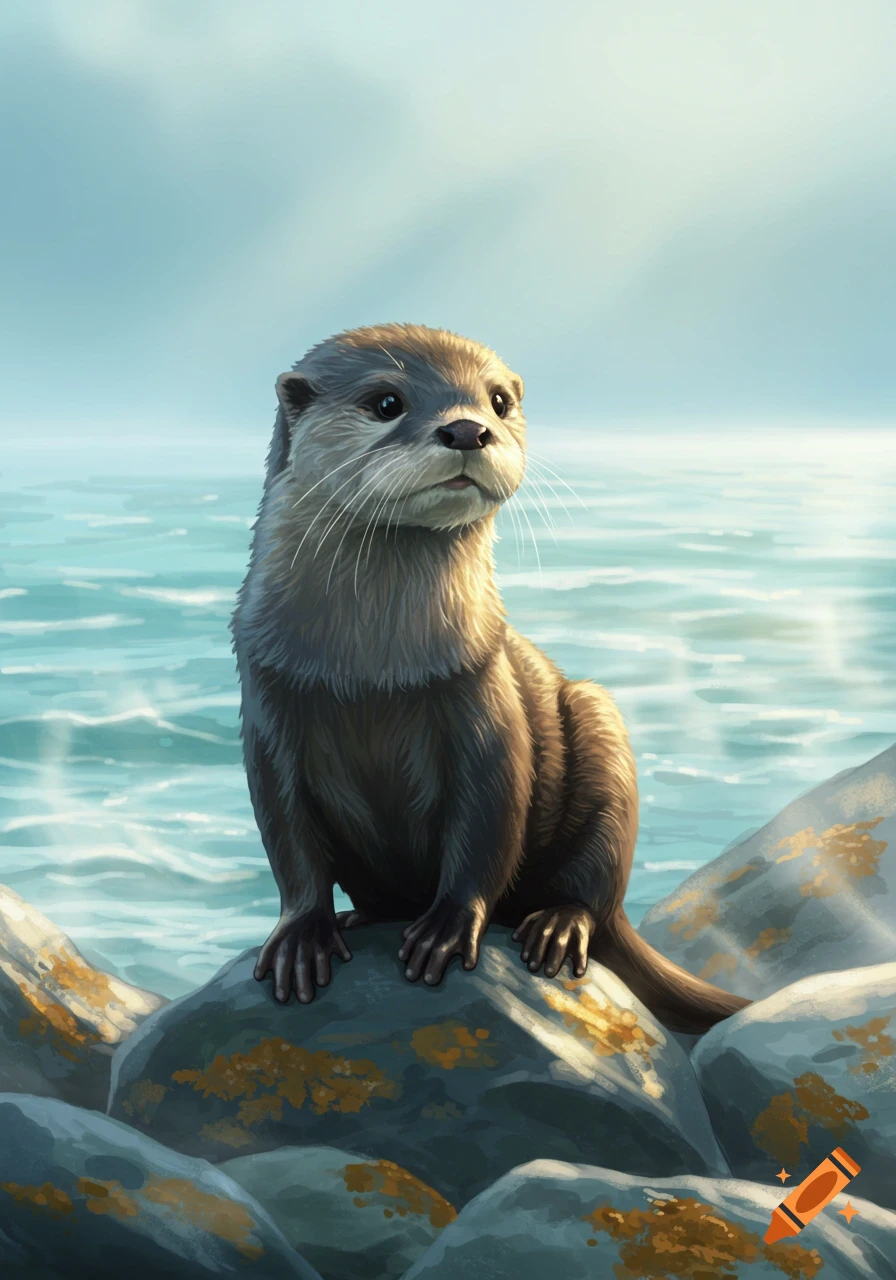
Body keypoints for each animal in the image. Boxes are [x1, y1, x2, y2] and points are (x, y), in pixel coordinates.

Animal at [231, 323, 750, 1034]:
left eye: (498, 400)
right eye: (386, 402)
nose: (468, 429)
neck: (371, 669)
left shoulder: (482, 693)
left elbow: (487, 822)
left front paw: (448, 929)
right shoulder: (267, 702)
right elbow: (287, 838)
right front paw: (302, 935)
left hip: (601, 728)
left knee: (594, 887)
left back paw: (557, 926)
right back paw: (361, 913)